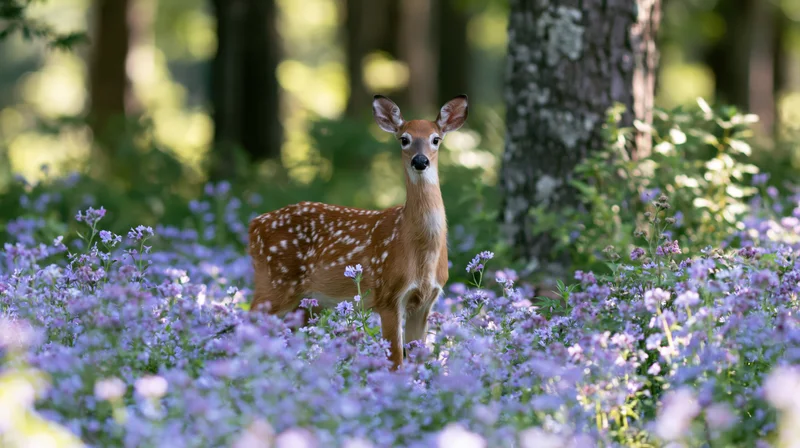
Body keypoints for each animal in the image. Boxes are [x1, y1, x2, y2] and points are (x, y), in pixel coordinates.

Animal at [246, 94, 469, 370]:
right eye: (404, 139)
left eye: (436, 139)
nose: (420, 161)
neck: (419, 250)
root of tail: (253, 225)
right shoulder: (388, 295)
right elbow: (396, 362)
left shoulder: (425, 301)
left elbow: (419, 360)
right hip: (274, 283)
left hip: (304, 303)